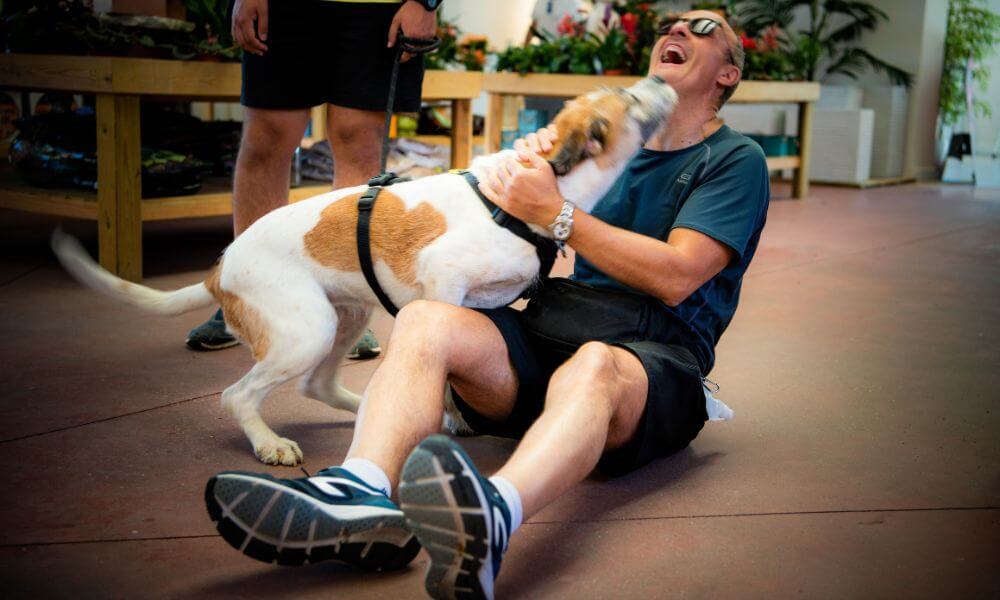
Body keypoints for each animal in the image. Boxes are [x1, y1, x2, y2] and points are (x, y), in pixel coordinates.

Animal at [50, 77, 676, 466]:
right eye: (628, 96)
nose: (665, 76)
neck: (524, 192)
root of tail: (219, 269)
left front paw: (445, 414)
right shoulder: (441, 280)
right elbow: (442, 365)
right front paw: (448, 413)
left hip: (347, 317)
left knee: (317, 385)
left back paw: (364, 411)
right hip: (308, 330)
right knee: (236, 396)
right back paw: (270, 444)